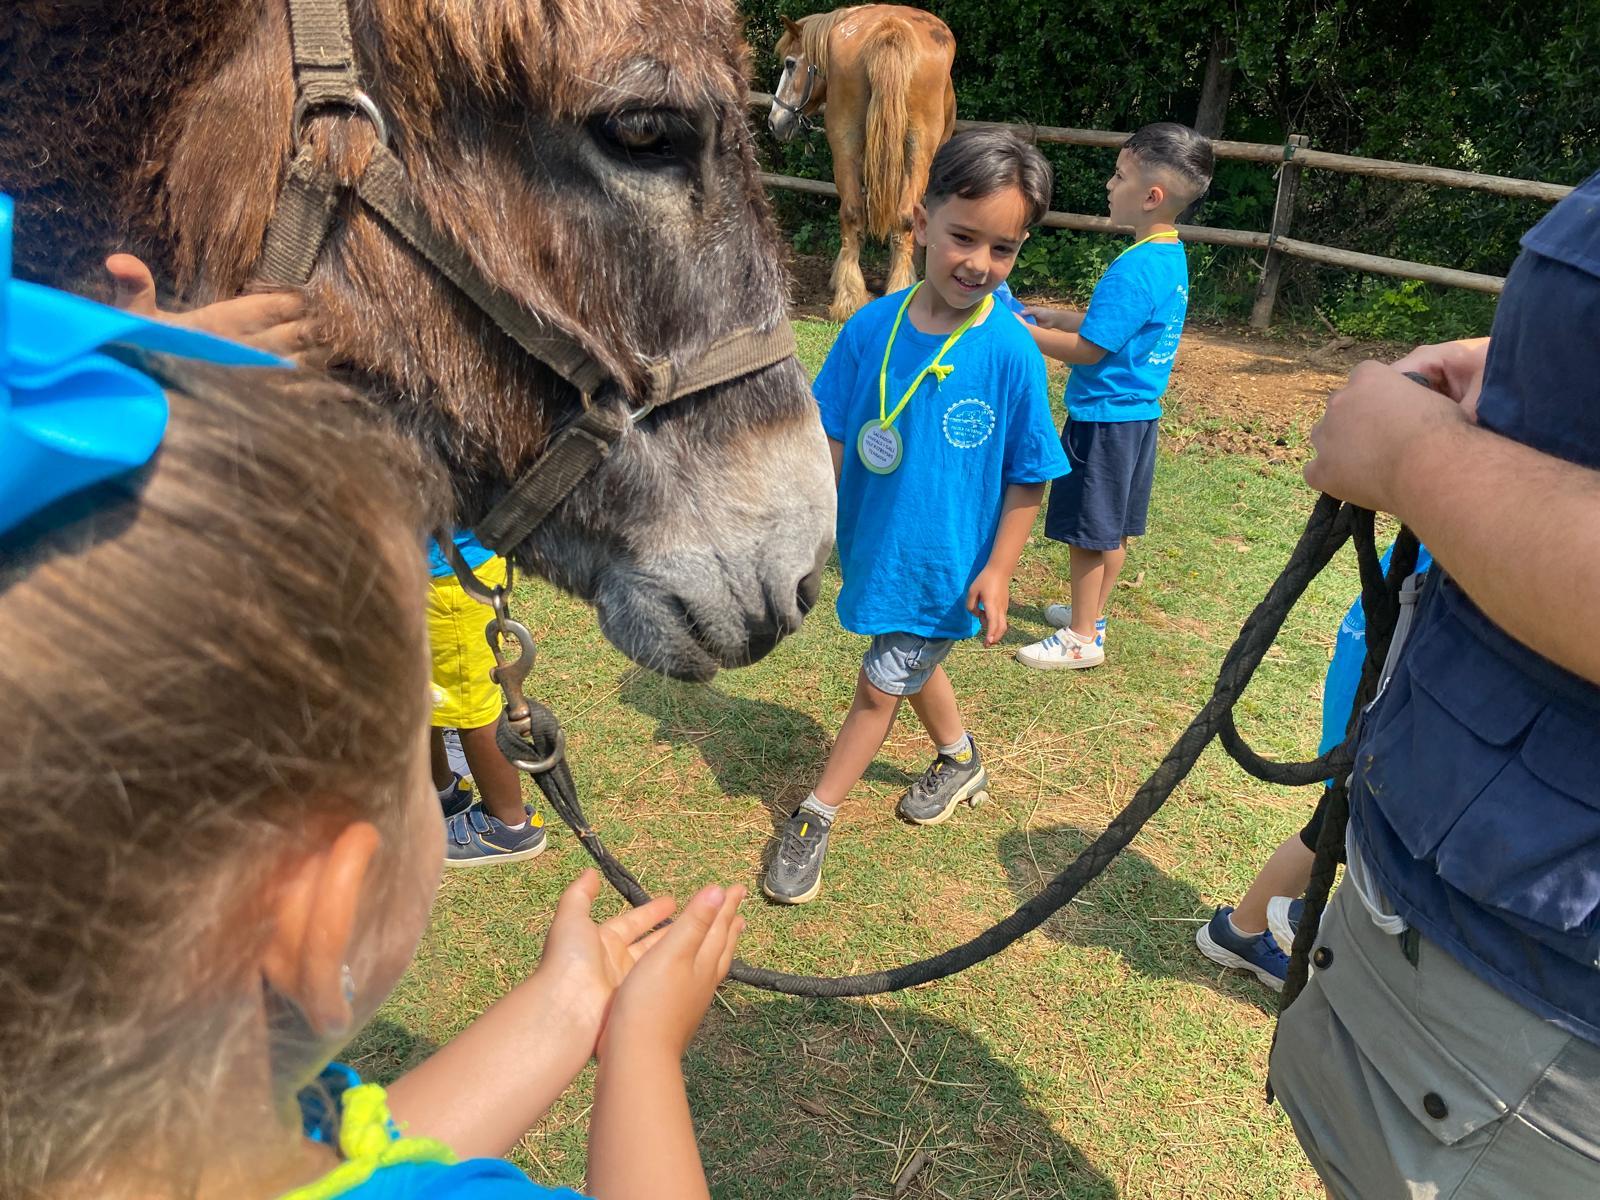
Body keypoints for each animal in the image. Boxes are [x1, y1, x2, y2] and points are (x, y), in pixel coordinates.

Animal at [768, 5, 957, 321]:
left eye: (790, 64)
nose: (774, 122)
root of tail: (890, 28)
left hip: (850, 139)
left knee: (856, 212)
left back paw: (850, 298)